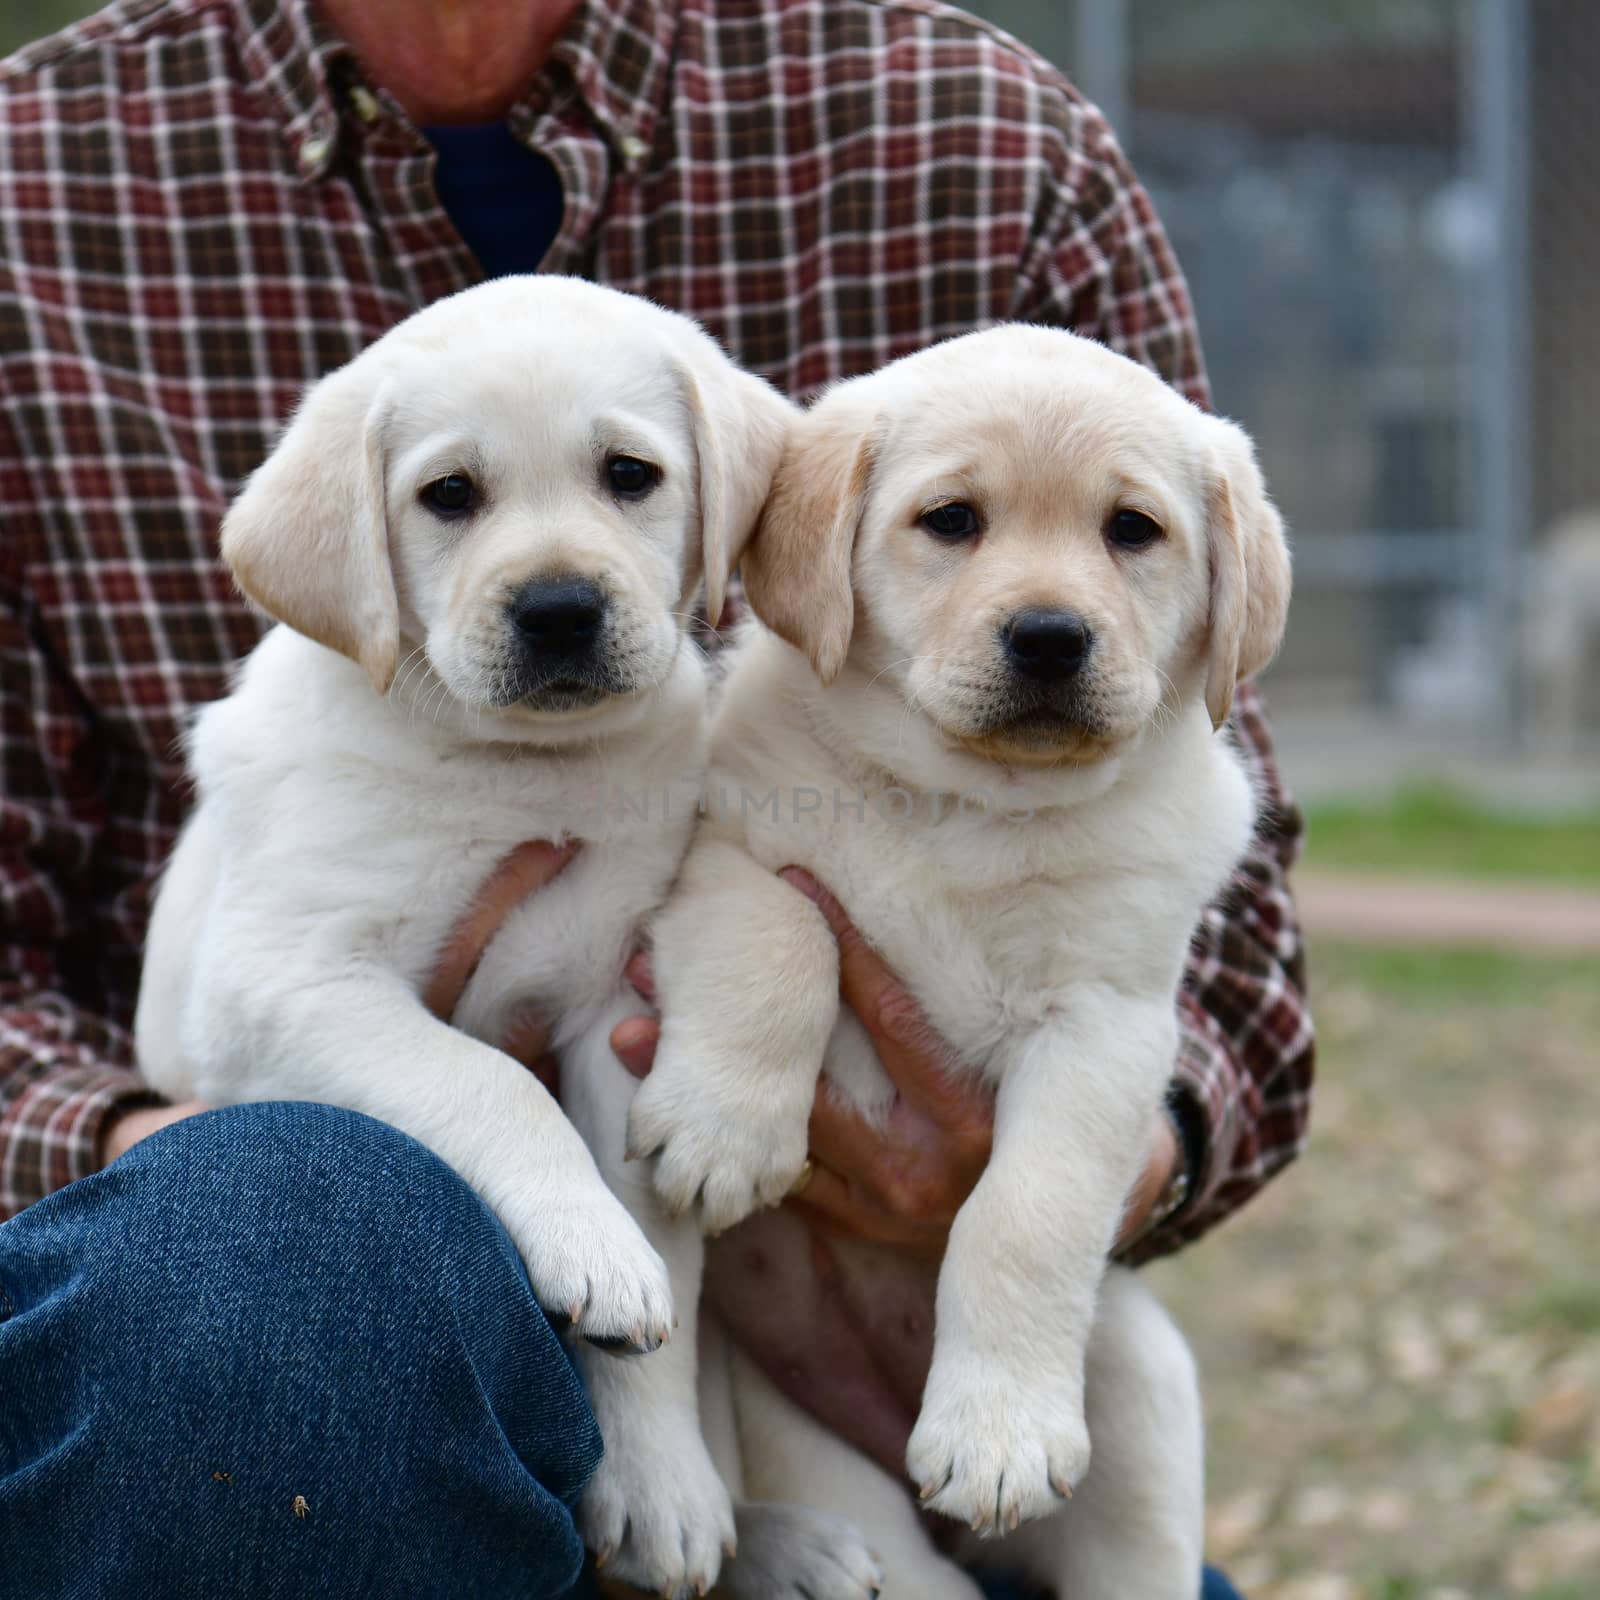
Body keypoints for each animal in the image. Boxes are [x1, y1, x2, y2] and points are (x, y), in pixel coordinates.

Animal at [630, 328, 1292, 1600]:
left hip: (1136, 1387)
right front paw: (723, 1130)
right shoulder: (726, 856)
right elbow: (782, 941)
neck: (975, 809)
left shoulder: (1106, 1025)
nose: (1048, 636)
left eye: (1131, 529)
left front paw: (997, 1434)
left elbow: (1024, 1214)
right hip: (813, 1450)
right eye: (949, 520)